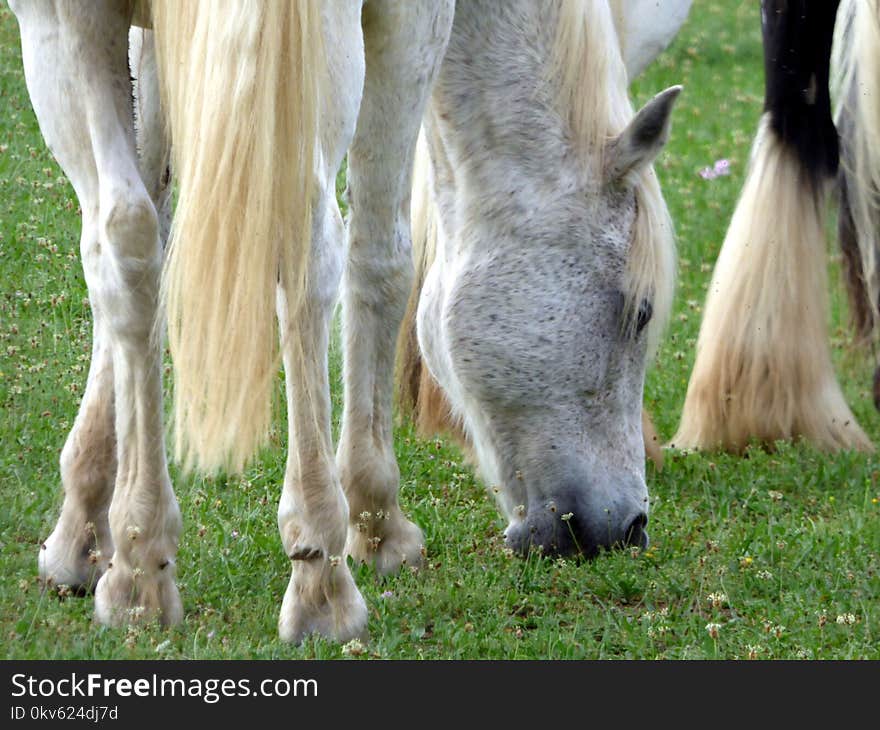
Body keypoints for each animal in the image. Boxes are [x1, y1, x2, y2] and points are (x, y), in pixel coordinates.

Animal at [13, 0, 684, 636]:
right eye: (640, 313)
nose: (624, 528)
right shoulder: (414, 23)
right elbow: (382, 258)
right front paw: (377, 524)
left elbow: (150, 213)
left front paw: (84, 532)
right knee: (306, 247)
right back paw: (320, 582)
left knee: (123, 240)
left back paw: (140, 569)